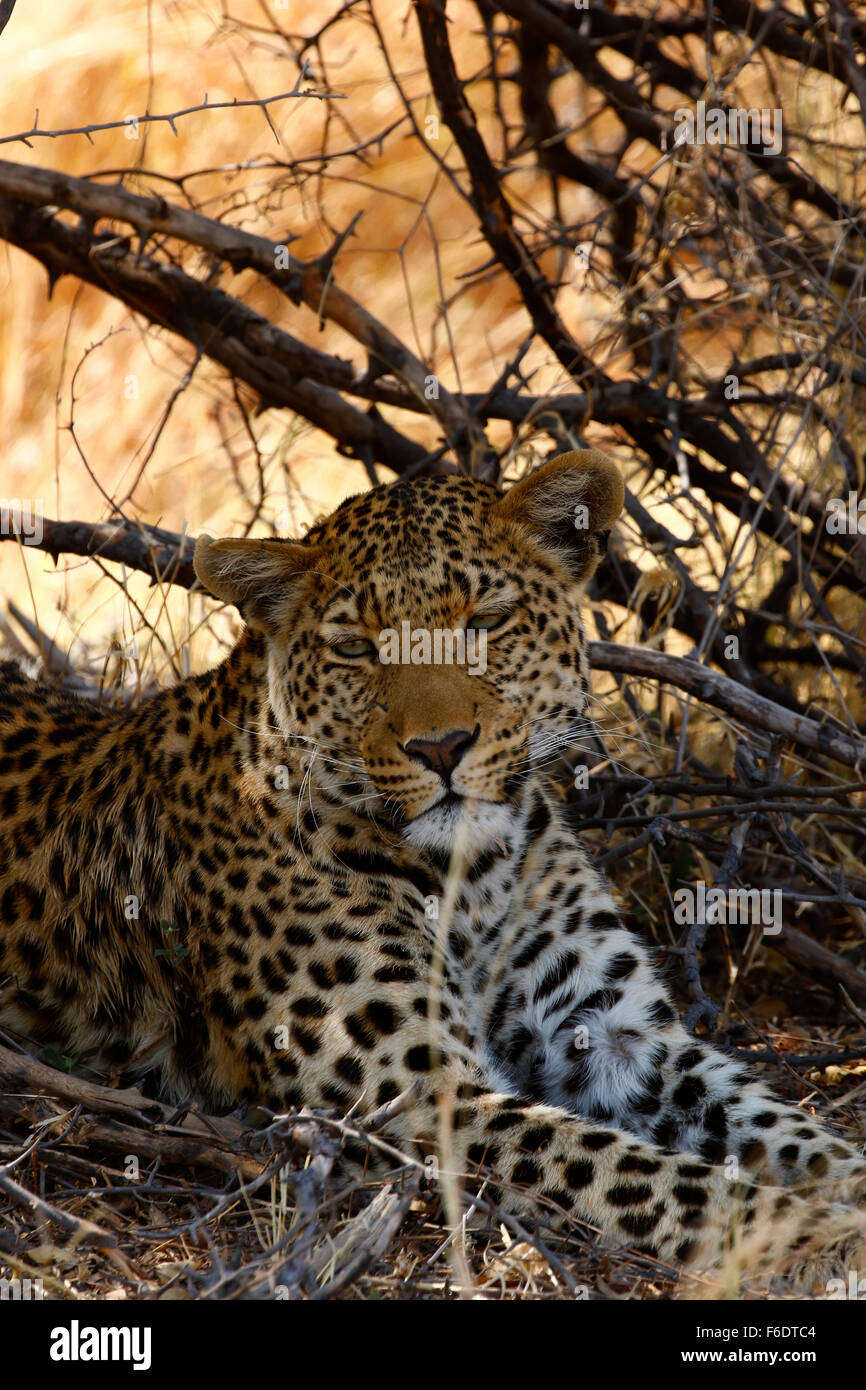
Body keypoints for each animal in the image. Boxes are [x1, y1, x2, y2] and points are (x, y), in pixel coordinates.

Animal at [1, 447, 865, 1290]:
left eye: (486, 622)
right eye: (355, 648)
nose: (441, 748)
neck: (472, 875)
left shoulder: (617, 1036)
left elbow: (782, 1128)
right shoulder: (416, 1095)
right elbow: (660, 1178)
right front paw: (823, 1237)